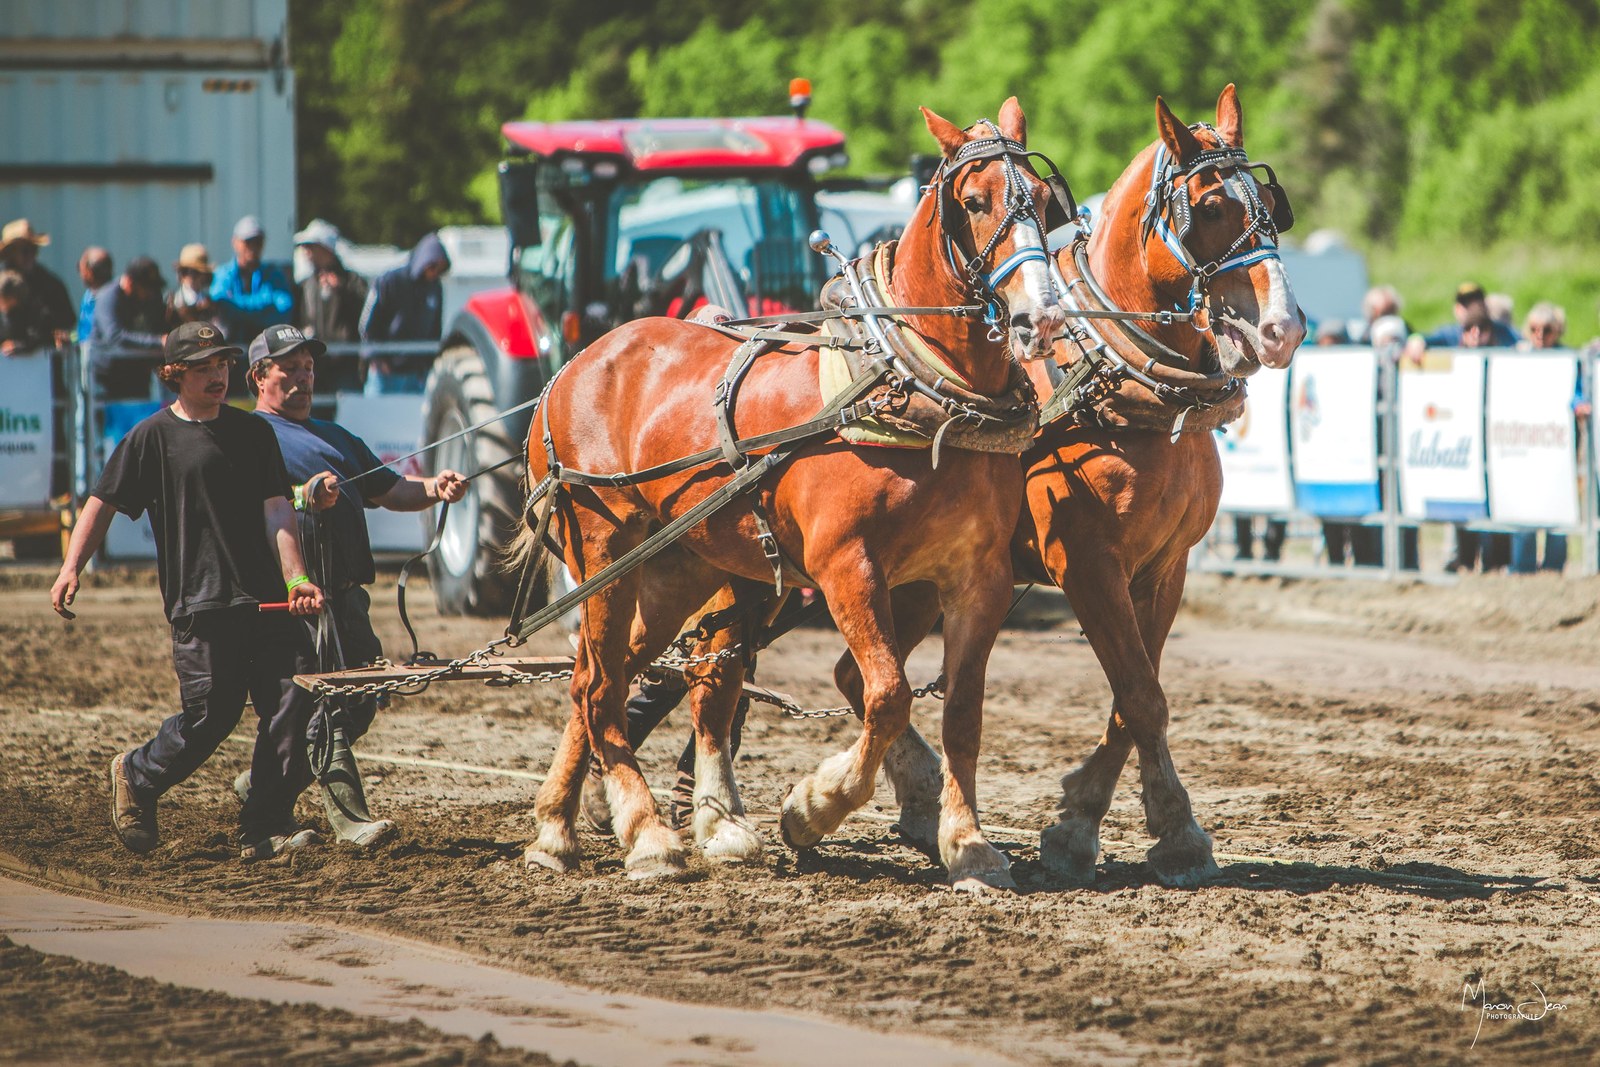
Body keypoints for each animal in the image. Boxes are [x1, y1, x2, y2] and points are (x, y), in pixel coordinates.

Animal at [516, 98, 1068, 890]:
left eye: (1046, 201)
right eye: (974, 202)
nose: (1042, 317)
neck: (918, 388)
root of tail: (570, 369)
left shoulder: (977, 576)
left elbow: (962, 710)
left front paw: (968, 845)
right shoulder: (849, 569)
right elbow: (889, 695)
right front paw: (814, 806)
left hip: (677, 566)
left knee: (603, 675)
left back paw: (557, 827)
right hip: (602, 550)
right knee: (600, 687)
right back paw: (648, 834)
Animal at [846, 85, 1306, 888]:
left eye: (1270, 207)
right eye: (1211, 206)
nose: (1283, 329)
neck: (1119, 380)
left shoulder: (1164, 565)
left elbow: (1134, 694)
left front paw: (1084, 823)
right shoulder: (1085, 561)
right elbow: (1142, 694)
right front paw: (1171, 831)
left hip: (916, 579)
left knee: (856, 675)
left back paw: (917, 798)